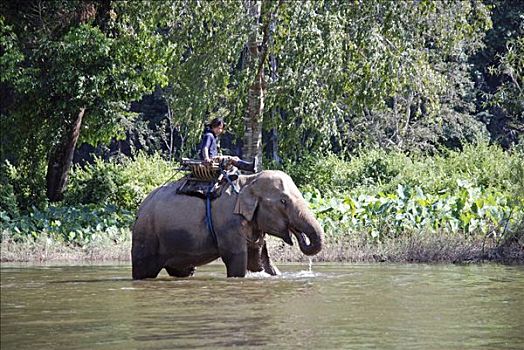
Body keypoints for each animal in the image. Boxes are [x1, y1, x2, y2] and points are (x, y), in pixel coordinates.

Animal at [131, 170, 324, 278]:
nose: (297, 233)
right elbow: (237, 258)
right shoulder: (228, 224)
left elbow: (259, 262)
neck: (249, 180)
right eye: (283, 201)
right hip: (146, 235)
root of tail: (140, 209)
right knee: (144, 270)